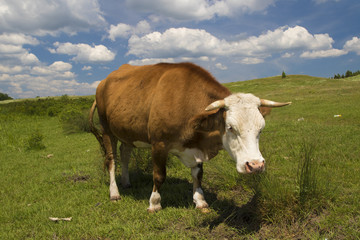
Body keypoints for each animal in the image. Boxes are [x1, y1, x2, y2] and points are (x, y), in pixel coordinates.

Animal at [89, 62, 290, 212]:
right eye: (231, 128)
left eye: (261, 129)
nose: (255, 166)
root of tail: (103, 81)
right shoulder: (159, 144)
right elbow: (159, 175)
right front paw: (154, 203)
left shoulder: (196, 145)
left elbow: (198, 174)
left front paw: (200, 200)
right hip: (106, 129)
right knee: (111, 160)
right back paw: (114, 192)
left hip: (126, 132)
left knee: (125, 153)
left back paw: (126, 182)